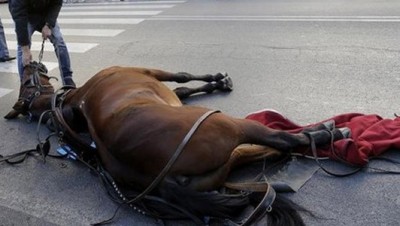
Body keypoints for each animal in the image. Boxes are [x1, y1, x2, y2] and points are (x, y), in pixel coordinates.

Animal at [4, 61, 348, 225]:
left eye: (25, 80)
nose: (32, 62)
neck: (76, 100)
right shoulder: (148, 70)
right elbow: (181, 76)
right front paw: (217, 79)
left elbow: (183, 91)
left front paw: (217, 83)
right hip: (228, 125)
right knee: (281, 139)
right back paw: (327, 133)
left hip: (226, 162)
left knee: (268, 148)